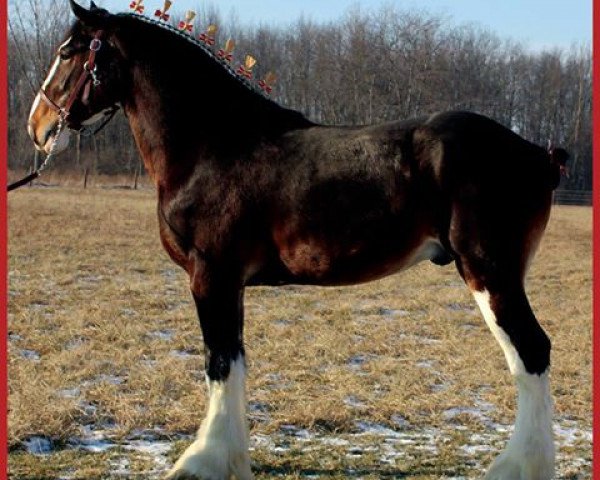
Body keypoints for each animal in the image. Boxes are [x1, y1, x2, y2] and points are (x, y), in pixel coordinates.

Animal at [28, 1, 568, 478]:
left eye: (68, 51)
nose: (38, 125)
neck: (212, 146)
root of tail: (537, 154)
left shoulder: (211, 276)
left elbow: (218, 362)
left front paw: (202, 462)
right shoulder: (228, 284)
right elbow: (234, 361)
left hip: (489, 273)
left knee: (531, 353)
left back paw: (517, 467)